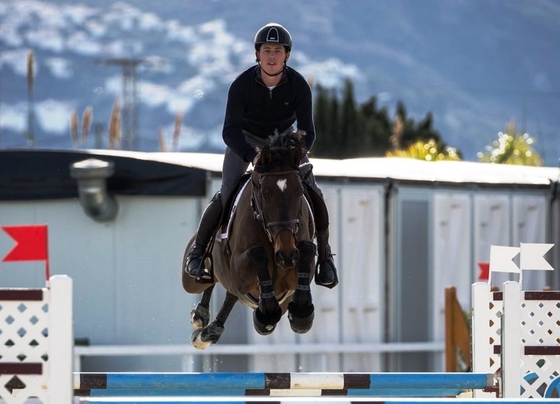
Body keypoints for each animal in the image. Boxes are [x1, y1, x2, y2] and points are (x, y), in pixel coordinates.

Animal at [183, 130, 318, 350]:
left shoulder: (292, 277)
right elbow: (257, 253)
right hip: (191, 280)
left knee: (230, 297)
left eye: (299, 192)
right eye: (265, 194)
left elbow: (307, 250)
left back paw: (209, 331)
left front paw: (300, 314)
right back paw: (201, 316)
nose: (287, 255)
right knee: (212, 282)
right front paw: (266, 315)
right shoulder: (241, 271)